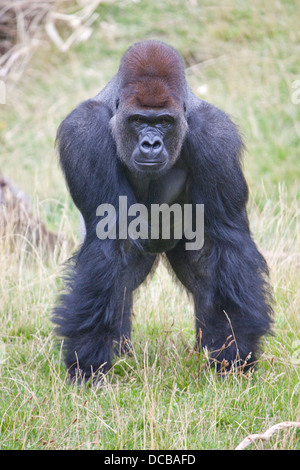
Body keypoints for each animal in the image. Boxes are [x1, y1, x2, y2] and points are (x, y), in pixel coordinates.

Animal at [52, 40, 274, 382]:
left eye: (164, 122)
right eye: (138, 120)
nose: (151, 144)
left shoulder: (216, 136)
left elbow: (226, 240)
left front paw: (234, 352)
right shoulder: (83, 131)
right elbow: (112, 236)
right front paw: (88, 360)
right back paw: (120, 349)